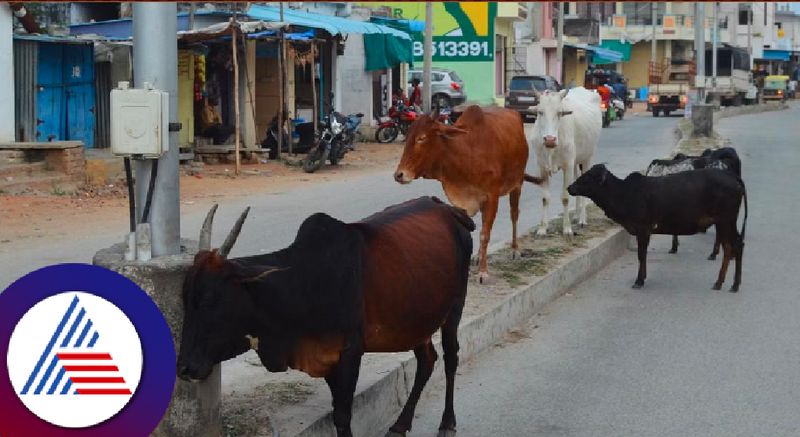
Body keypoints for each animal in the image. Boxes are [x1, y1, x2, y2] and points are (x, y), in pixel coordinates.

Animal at [396, 106, 532, 282]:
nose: (399, 175)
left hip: (517, 184)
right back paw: (478, 256)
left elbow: (485, 234)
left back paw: (515, 250)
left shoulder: (492, 196)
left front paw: (483, 272)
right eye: (407, 137)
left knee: (514, 215)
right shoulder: (465, 201)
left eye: (421, 138)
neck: (467, 153)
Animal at [524, 87, 600, 237]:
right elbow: (545, 198)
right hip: (576, 162)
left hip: (587, 157)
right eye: (540, 112)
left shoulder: (568, 165)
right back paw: (576, 216)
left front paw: (567, 228)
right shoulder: (542, 167)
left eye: (559, 113)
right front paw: (542, 228)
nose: (549, 140)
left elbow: (565, 197)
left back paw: (582, 220)